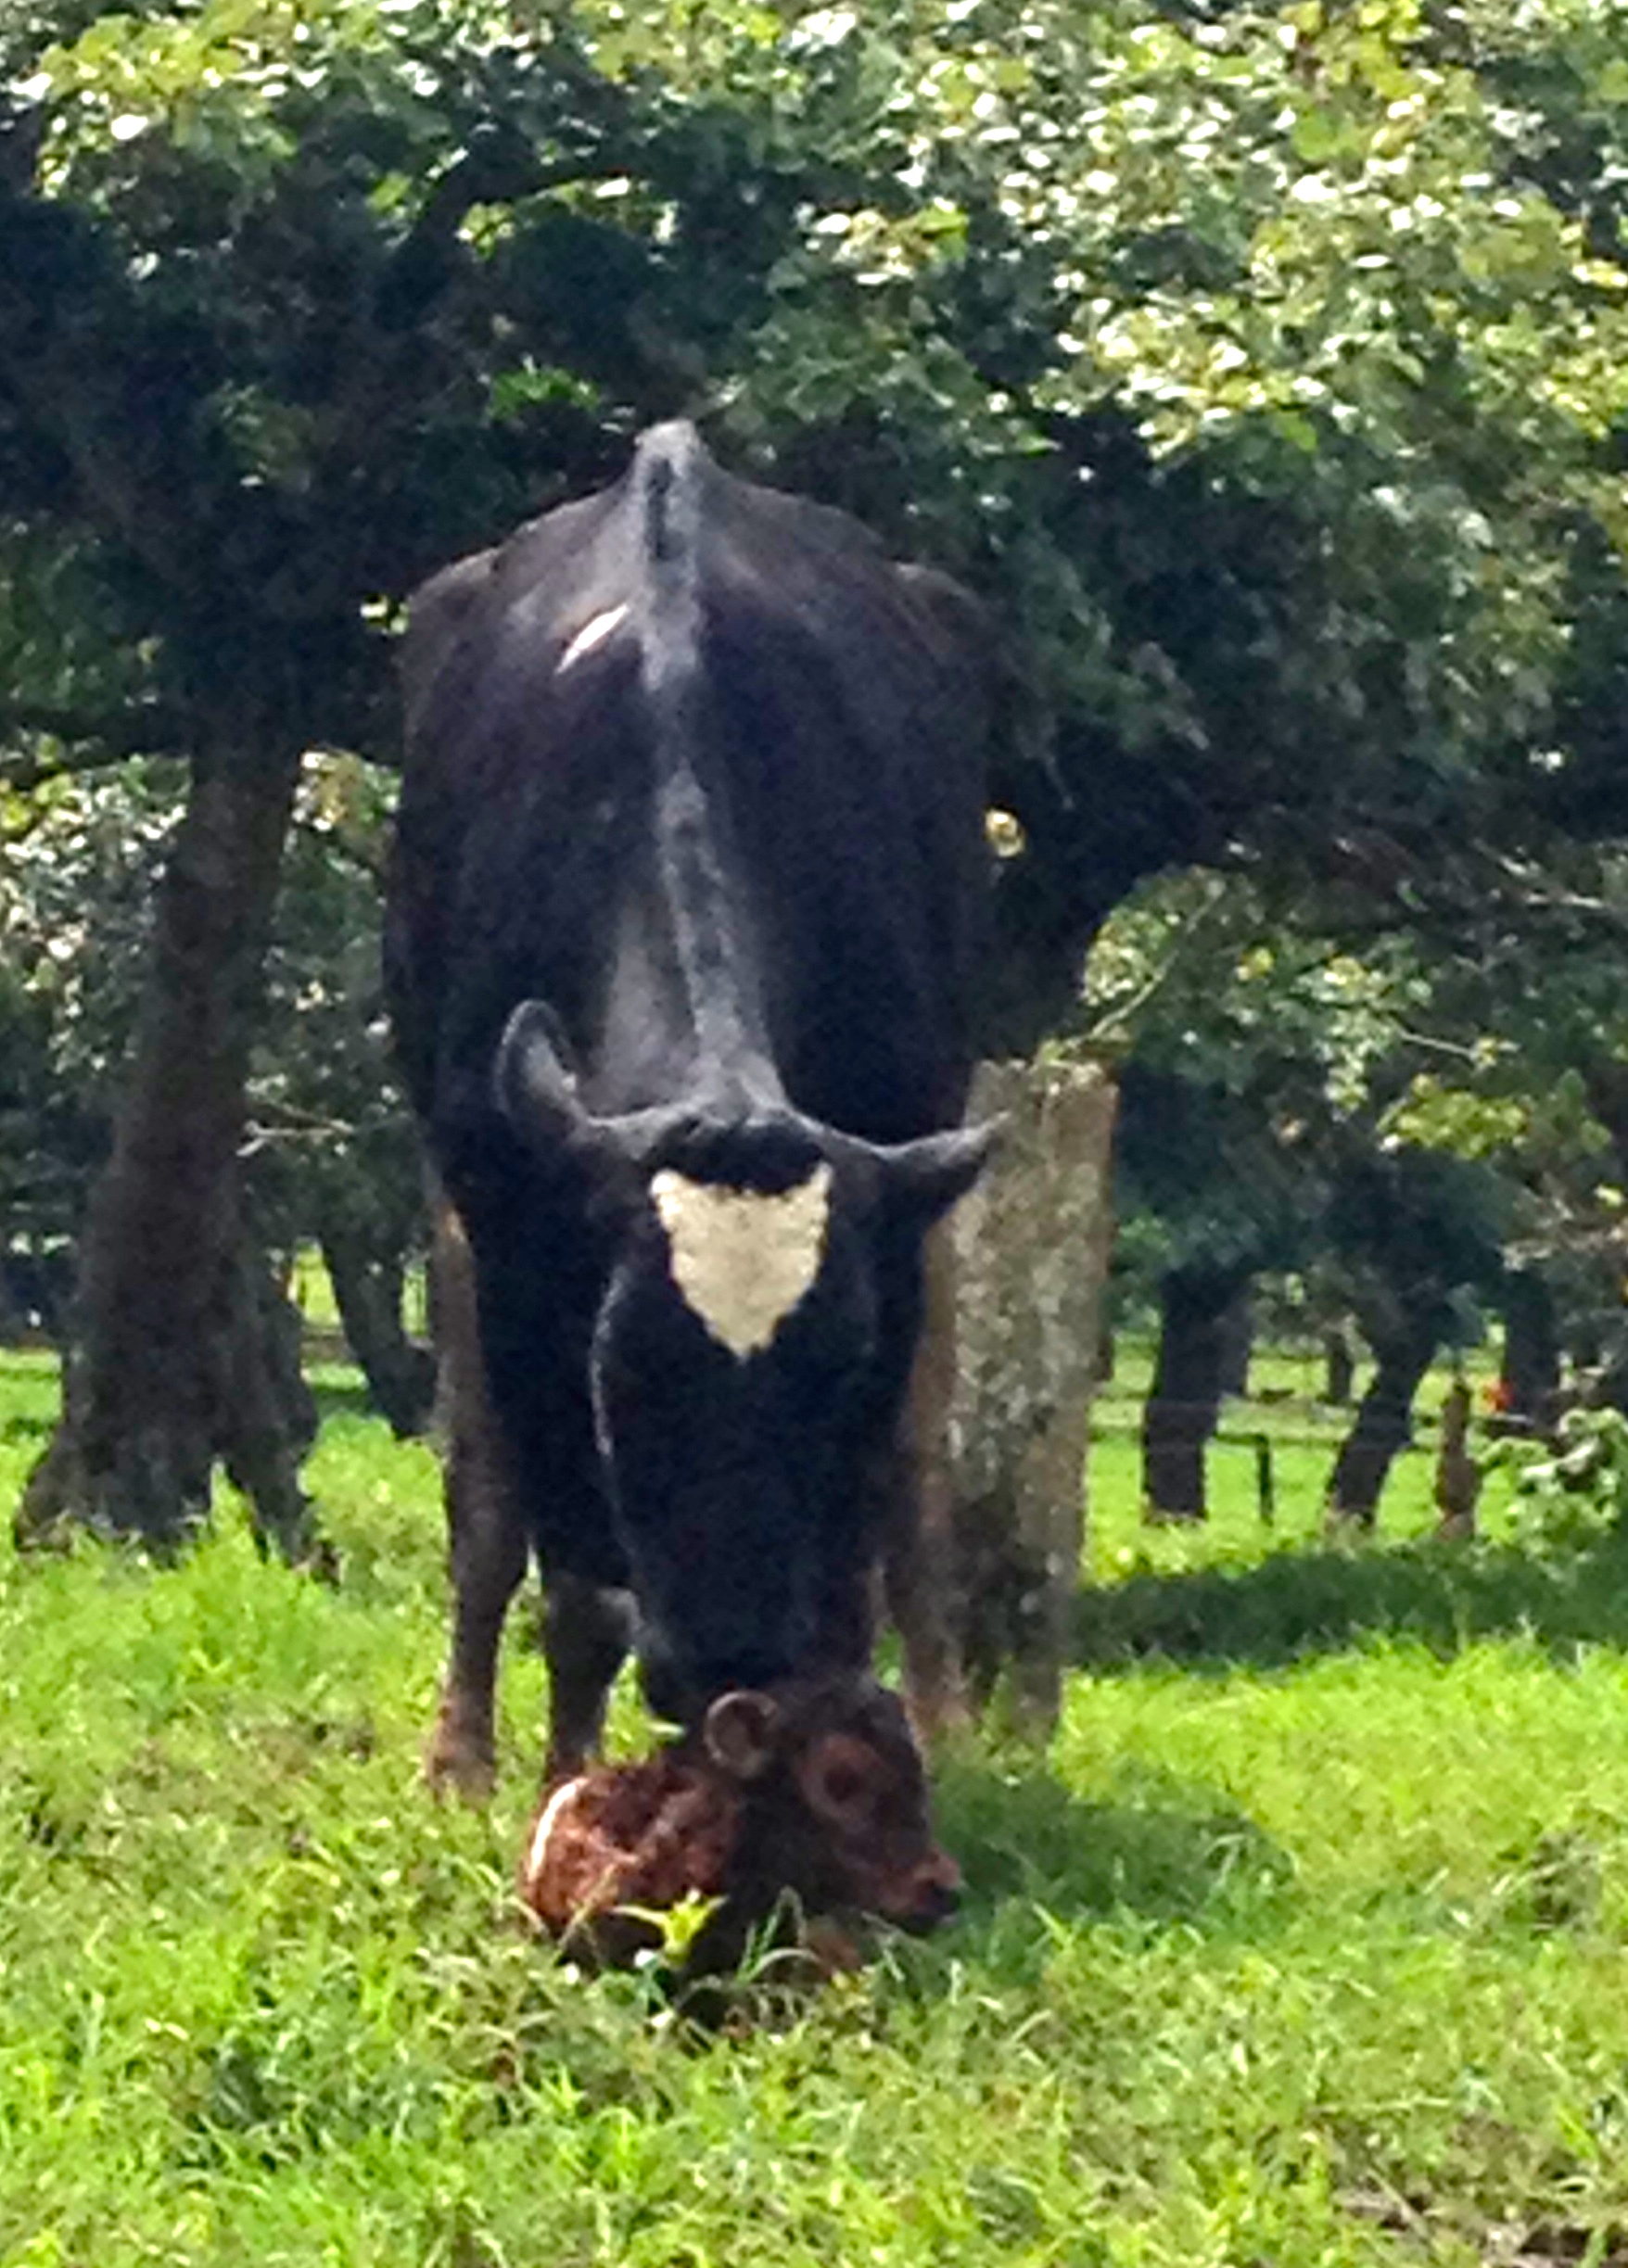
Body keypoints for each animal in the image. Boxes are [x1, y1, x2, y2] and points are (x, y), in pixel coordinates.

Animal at [385, 421, 996, 1801]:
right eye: (624, 1366)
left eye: (837, 1366)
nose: (726, 1660)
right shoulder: (517, 1231)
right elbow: (574, 1579)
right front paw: (568, 1786)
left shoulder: (897, 1210)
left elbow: (855, 1567)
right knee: (484, 1489)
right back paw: (462, 1754)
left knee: (920, 1484)